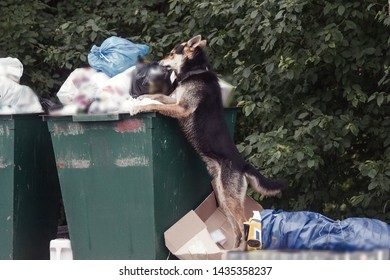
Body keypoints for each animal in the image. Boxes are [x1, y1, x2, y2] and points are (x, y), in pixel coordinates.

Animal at [130, 35, 286, 247]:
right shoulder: (174, 101)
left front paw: (139, 107)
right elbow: (158, 96)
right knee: (236, 229)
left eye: (171, 53)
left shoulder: (181, 108)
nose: (158, 63)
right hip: (223, 197)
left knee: (244, 224)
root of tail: (243, 164)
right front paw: (141, 97)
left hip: (230, 198)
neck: (195, 71)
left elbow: (156, 104)